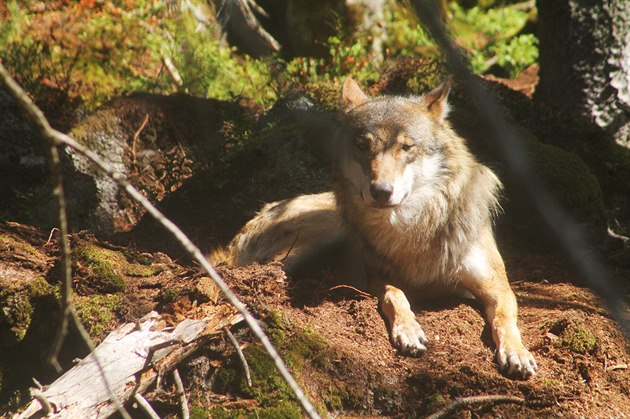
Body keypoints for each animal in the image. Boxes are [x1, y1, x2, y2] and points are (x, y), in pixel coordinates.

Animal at [221, 77, 540, 378]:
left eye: (407, 147)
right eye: (363, 146)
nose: (381, 191)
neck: (414, 227)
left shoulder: (495, 285)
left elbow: (504, 318)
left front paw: (516, 353)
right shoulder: (378, 277)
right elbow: (395, 295)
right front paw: (409, 331)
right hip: (323, 235)